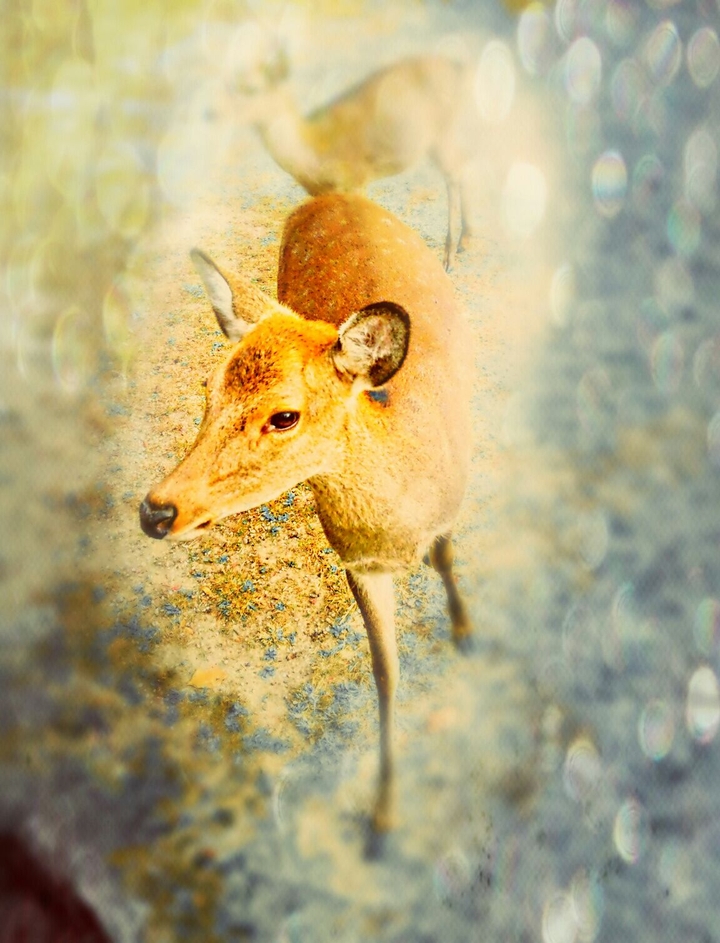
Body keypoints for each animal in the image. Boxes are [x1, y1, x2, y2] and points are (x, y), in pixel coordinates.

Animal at [139, 192, 474, 843]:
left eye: (285, 415)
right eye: (209, 387)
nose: (155, 510)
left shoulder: (454, 504)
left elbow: (447, 557)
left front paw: (466, 631)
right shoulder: (356, 561)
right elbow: (386, 674)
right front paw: (382, 818)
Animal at [233, 50, 482, 271]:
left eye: (252, 89)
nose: (221, 111)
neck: (315, 150)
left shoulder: (356, 181)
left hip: (444, 132)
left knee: (455, 176)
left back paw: (449, 259)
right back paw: (466, 240)